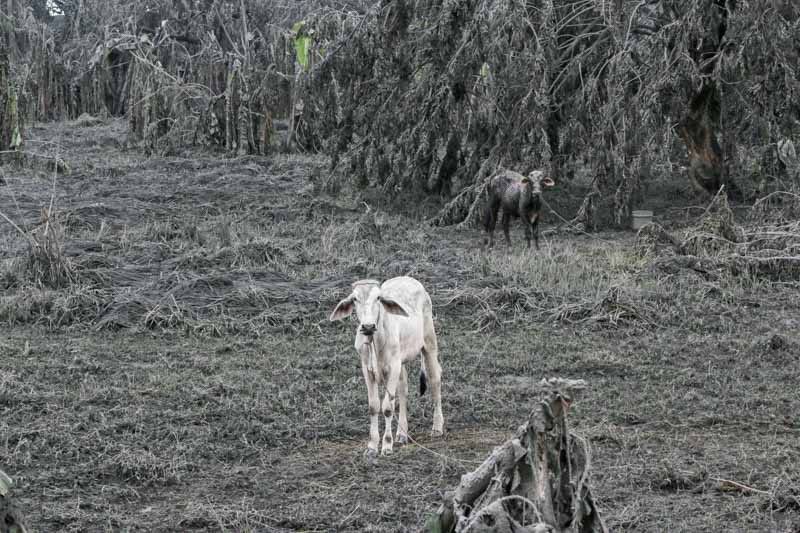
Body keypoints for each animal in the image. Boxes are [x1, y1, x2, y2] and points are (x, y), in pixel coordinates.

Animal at [330, 276, 444, 456]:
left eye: (378, 298)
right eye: (355, 299)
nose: (368, 326)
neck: (375, 342)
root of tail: (409, 278)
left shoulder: (393, 366)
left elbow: (388, 407)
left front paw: (387, 445)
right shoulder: (367, 369)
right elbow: (374, 406)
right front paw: (372, 446)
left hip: (429, 342)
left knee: (434, 379)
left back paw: (437, 427)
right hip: (401, 361)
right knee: (403, 389)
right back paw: (402, 434)